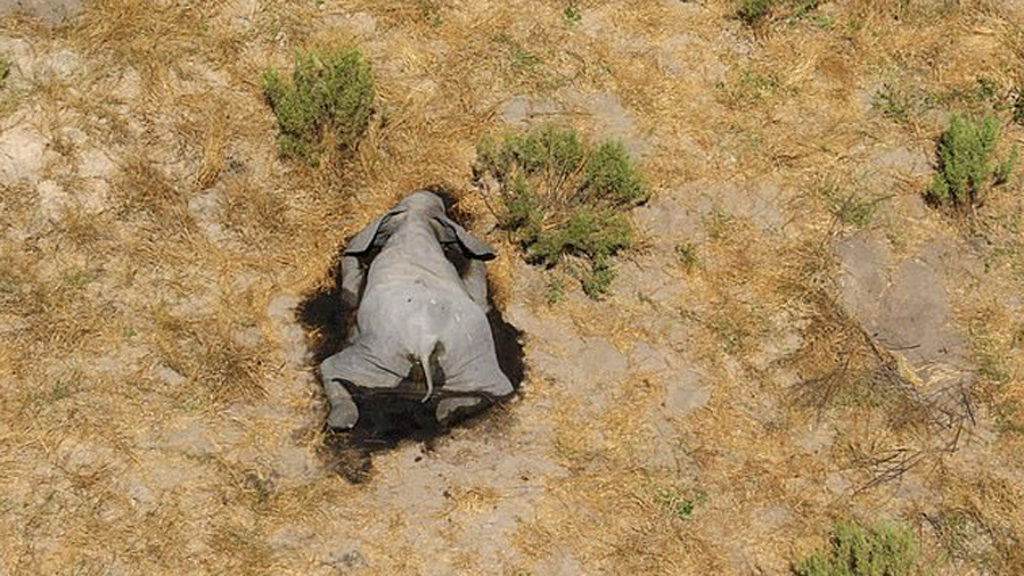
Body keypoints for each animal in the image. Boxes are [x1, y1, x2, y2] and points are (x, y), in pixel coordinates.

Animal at [319, 191, 515, 430]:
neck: (415, 221)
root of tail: (425, 345)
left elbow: (351, 292)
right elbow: (477, 295)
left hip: (379, 357)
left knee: (330, 367)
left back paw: (341, 420)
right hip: (473, 357)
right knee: (498, 389)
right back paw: (448, 412)